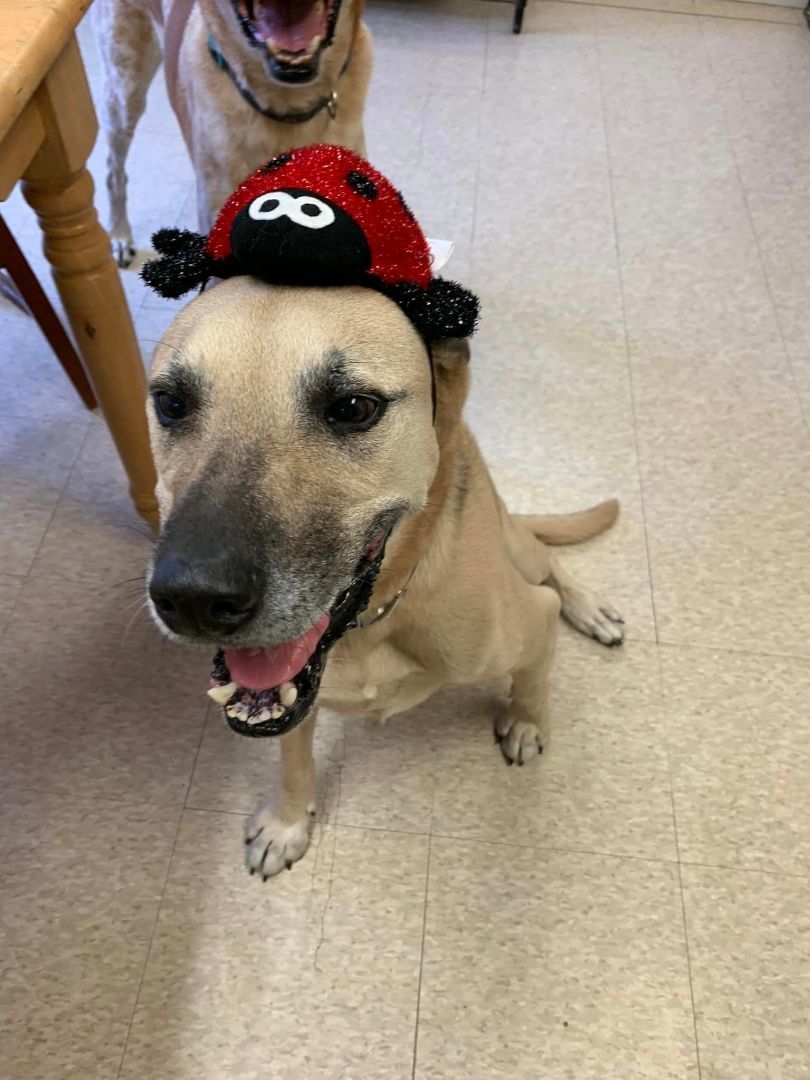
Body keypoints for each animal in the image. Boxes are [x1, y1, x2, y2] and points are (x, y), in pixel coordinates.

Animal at [142, 147, 626, 876]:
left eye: (353, 408)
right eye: (171, 402)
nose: (194, 599)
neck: (372, 625)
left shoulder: (529, 623)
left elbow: (535, 672)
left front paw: (527, 719)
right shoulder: (292, 694)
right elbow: (293, 754)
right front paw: (288, 822)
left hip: (517, 545)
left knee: (550, 567)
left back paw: (590, 608)